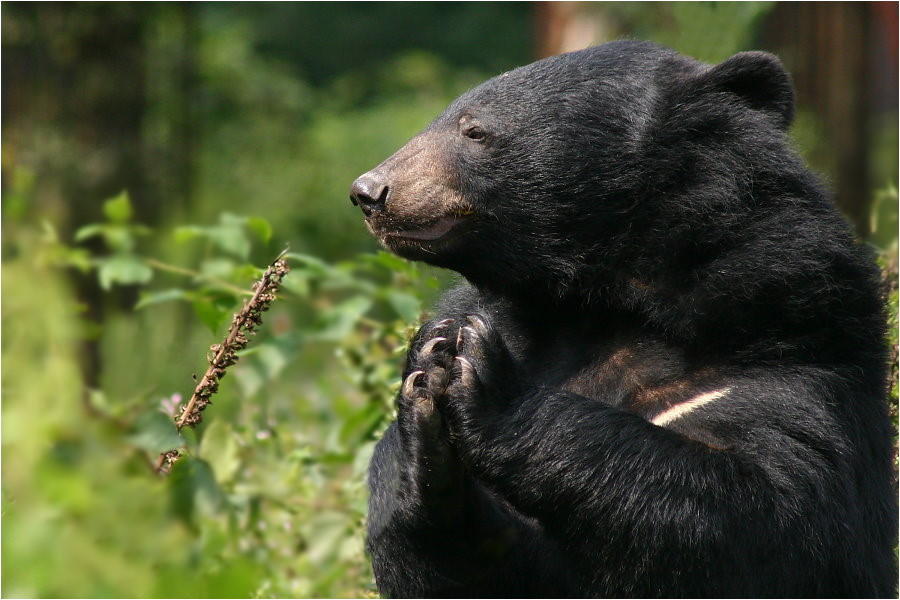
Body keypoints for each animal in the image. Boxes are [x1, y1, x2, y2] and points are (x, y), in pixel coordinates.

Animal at [348, 39, 896, 596]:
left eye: (474, 130)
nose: (369, 192)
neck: (586, 305)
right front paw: (428, 387)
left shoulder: (788, 342)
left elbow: (768, 512)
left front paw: (481, 375)